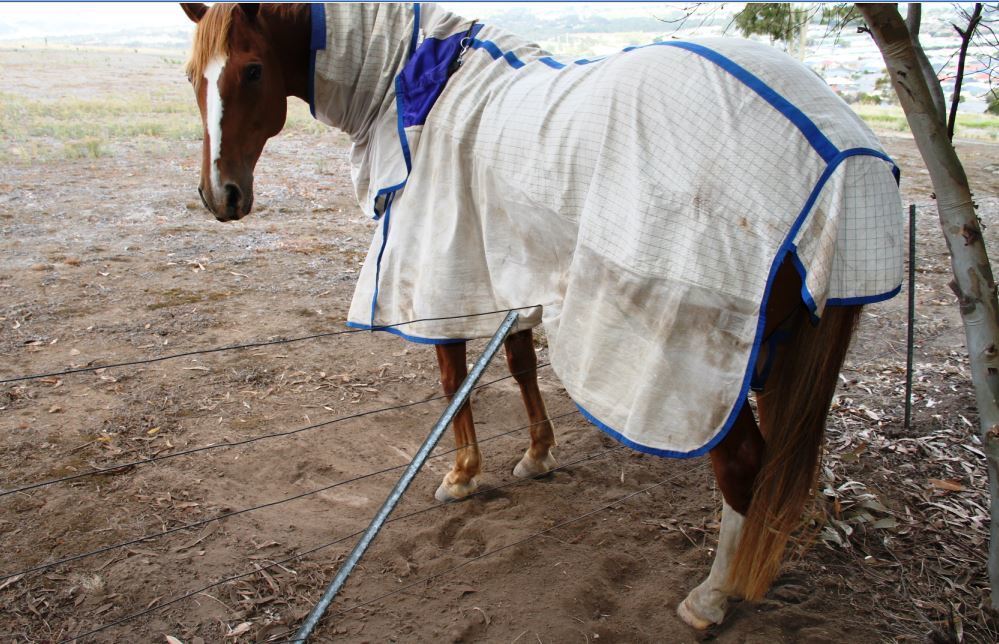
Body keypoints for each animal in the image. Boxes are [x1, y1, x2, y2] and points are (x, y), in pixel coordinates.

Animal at [179, 2, 903, 630]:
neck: (418, 83)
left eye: (251, 70)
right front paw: (536, 455)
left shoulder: (443, 272)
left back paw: (711, 599)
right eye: (191, 76)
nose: (221, 196)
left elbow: (453, 378)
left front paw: (461, 477)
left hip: (690, 363)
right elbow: (522, 364)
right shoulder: (509, 269)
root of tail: (845, 151)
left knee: (745, 466)